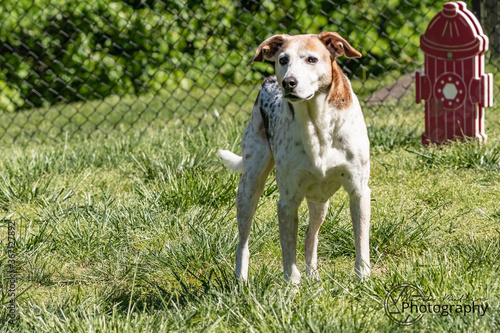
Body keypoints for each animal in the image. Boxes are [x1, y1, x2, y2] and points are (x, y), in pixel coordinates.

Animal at [220, 31, 372, 282]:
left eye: (312, 59)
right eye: (283, 60)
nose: (288, 82)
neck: (316, 122)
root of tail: (268, 81)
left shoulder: (359, 191)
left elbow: (361, 241)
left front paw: (363, 277)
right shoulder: (287, 201)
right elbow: (288, 249)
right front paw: (291, 284)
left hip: (320, 202)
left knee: (311, 235)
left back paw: (313, 274)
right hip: (249, 188)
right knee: (243, 242)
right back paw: (240, 281)